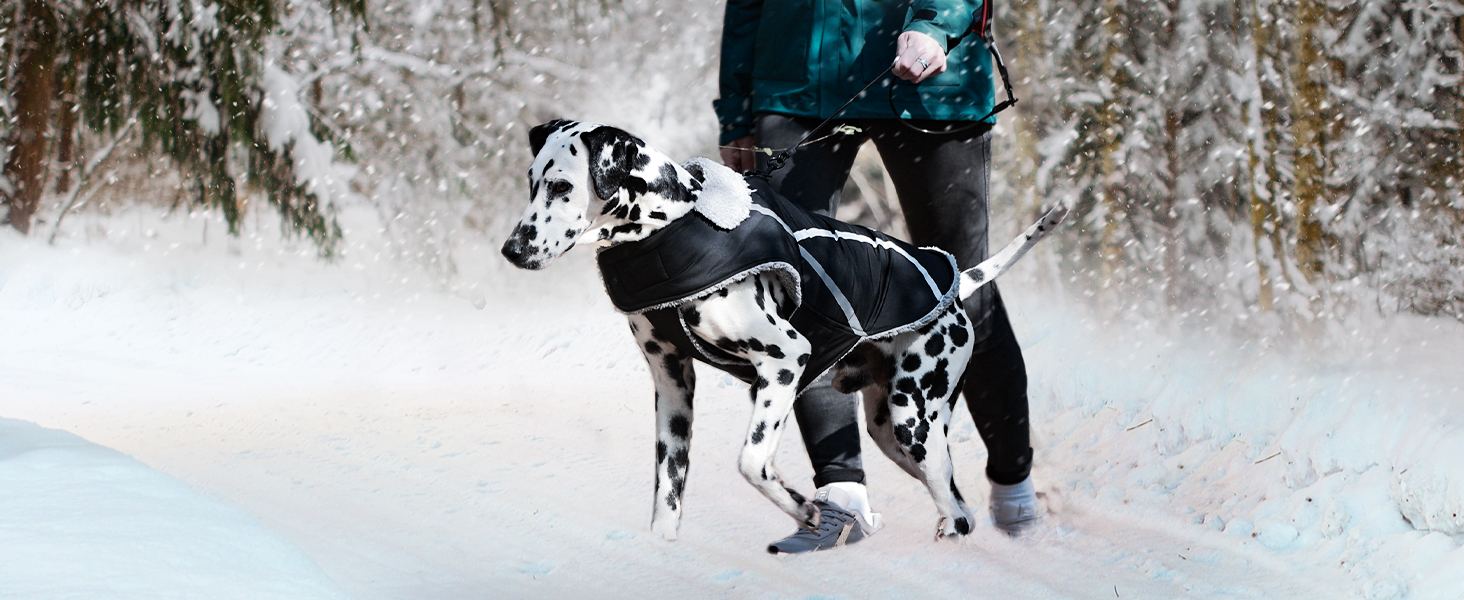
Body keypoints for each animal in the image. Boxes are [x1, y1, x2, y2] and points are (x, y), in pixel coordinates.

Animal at [500, 119, 1065, 541]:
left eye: (562, 186)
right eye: (531, 181)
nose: (511, 250)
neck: (672, 225)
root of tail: (956, 281)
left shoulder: (786, 360)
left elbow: (752, 462)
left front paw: (802, 508)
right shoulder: (672, 386)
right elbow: (668, 494)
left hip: (915, 421)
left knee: (960, 514)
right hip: (892, 431)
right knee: (956, 504)